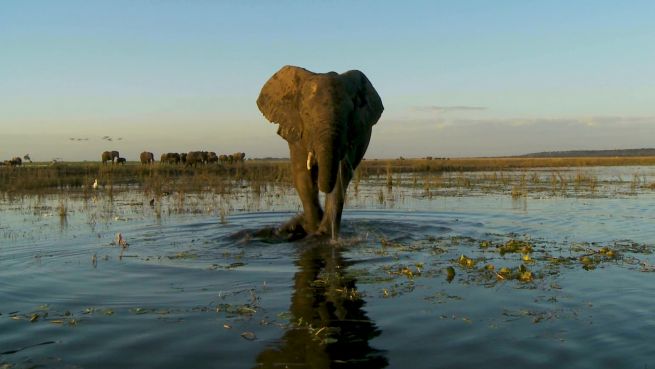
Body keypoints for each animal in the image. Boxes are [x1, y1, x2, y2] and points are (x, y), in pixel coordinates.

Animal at [258, 65, 384, 240]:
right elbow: (303, 175)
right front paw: (309, 227)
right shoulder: (297, 130)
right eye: (306, 114)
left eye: (349, 114)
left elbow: (341, 176)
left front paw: (323, 233)